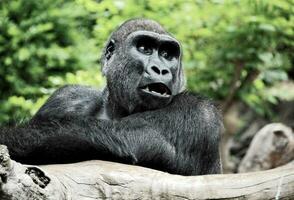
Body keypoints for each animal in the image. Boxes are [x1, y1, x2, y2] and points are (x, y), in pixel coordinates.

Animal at [0, 18, 222, 175]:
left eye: (167, 55)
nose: (161, 69)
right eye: (144, 48)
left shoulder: (198, 113)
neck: (116, 107)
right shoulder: (64, 98)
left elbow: (128, 138)